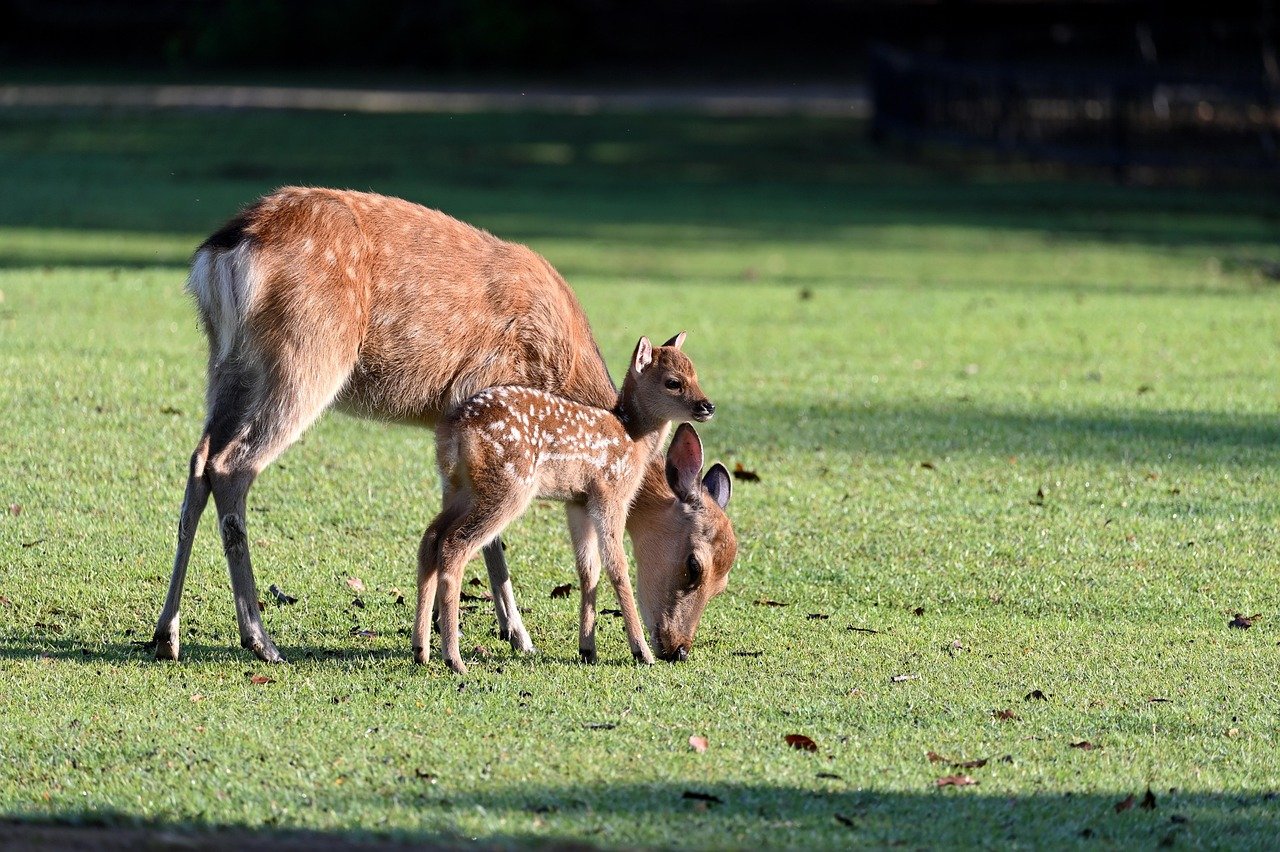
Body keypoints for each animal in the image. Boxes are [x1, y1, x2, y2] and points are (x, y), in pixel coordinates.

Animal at [417, 335, 717, 674]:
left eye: (695, 374)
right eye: (673, 382)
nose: (707, 406)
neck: (633, 438)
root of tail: (454, 430)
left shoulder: (578, 501)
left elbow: (588, 569)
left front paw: (587, 649)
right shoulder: (611, 493)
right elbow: (617, 567)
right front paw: (641, 651)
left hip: (459, 488)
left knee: (431, 538)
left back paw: (421, 649)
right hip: (508, 486)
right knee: (455, 545)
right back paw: (453, 658)